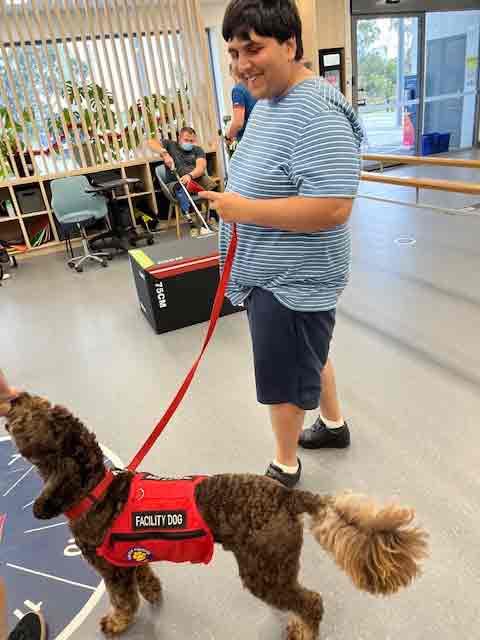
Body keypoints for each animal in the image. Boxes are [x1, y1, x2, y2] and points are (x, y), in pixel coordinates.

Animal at [5, 392, 430, 636]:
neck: (95, 488)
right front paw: (153, 591)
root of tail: (287, 496)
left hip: (263, 570)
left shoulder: (111, 570)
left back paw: (303, 629)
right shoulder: (131, 559)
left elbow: (124, 601)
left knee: (312, 601)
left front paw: (117, 623)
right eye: (42, 406)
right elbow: (146, 577)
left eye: (31, 418)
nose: (14, 398)